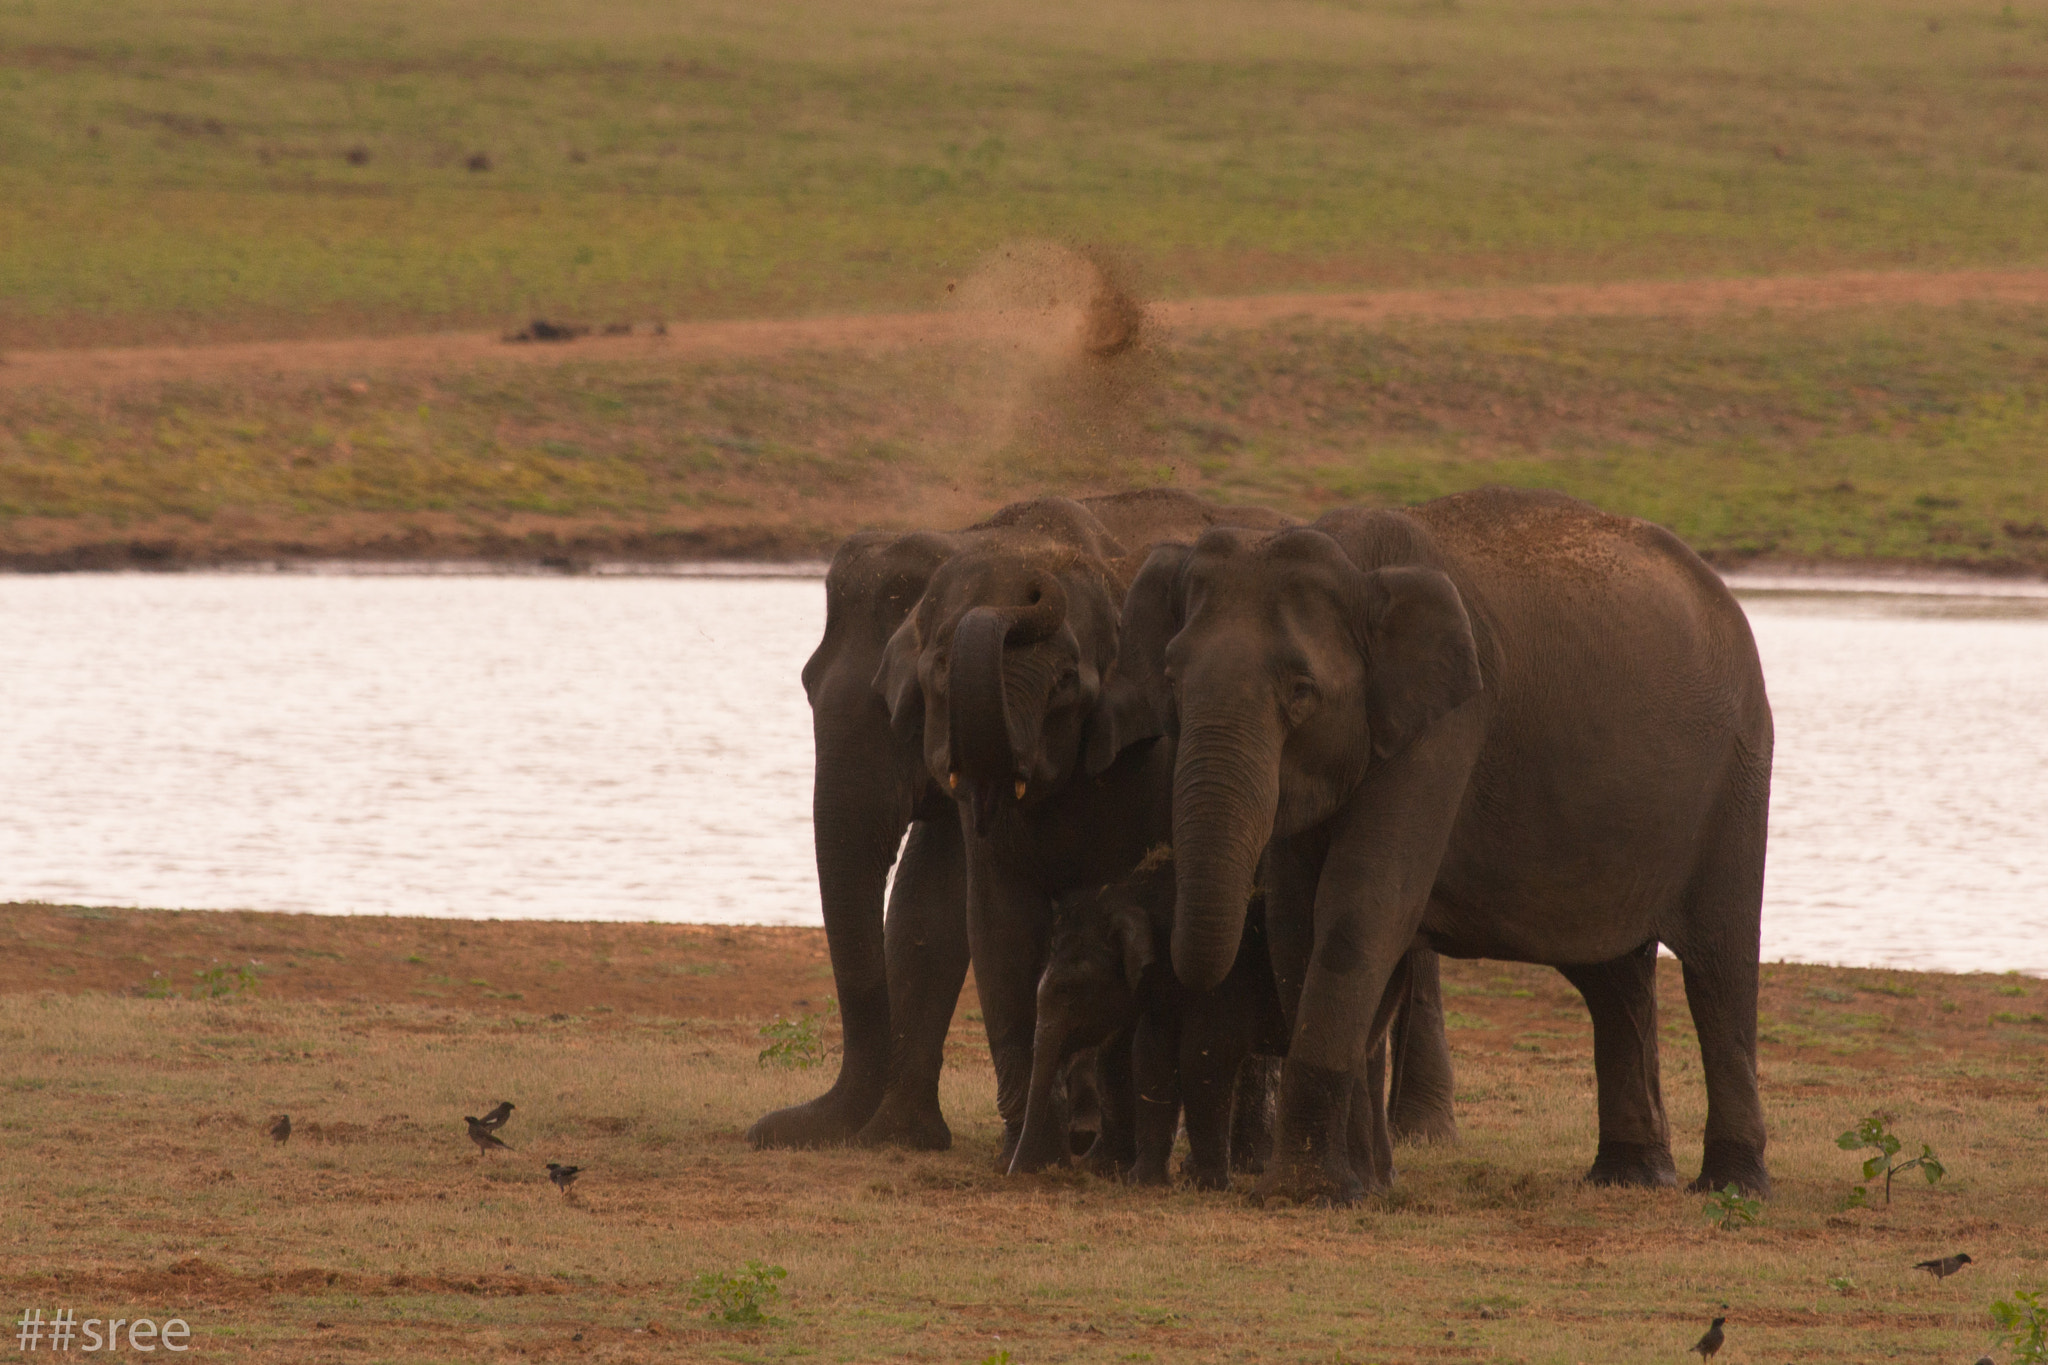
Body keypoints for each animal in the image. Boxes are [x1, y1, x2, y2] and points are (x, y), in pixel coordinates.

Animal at [1112, 487, 1774, 1206]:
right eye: (1171, 678)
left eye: (1302, 691)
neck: (1356, 565)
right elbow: (1295, 922)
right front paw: (1360, 1186)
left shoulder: (1448, 725)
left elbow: (1362, 906)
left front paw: (1309, 1192)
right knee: (1613, 980)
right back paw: (1628, 1175)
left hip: (1738, 773)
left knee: (1718, 968)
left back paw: (1732, 1186)